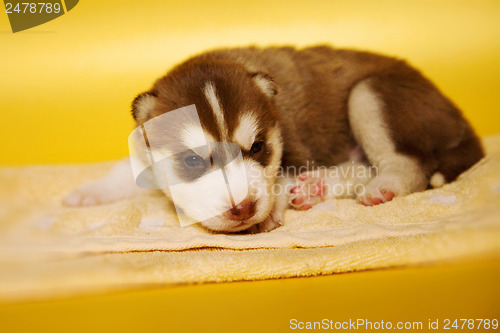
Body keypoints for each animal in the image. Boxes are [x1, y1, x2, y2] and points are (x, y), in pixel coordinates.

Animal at [63, 44, 484, 232]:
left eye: (257, 148)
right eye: (192, 161)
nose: (244, 208)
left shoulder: (292, 145)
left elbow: (278, 176)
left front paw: (269, 210)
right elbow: (126, 171)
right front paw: (88, 193)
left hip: (370, 93)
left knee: (410, 164)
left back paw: (381, 188)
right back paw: (315, 188)